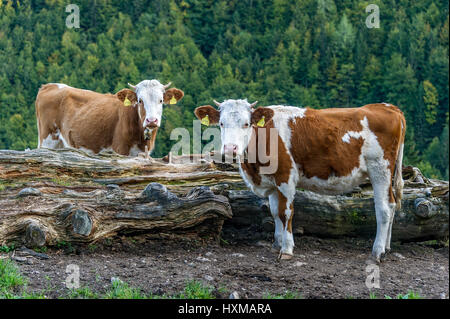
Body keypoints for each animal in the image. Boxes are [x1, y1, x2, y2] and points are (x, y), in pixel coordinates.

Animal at [34, 80, 184, 158]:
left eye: (161, 100)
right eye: (140, 100)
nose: (151, 121)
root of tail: (49, 86)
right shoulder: (120, 149)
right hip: (48, 138)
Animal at [195, 100, 406, 262]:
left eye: (246, 124)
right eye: (221, 123)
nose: (230, 149)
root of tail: (388, 107)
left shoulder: (286, 176)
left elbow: (286, 212)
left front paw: (287, 249)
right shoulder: (273, 183)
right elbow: (274, 211)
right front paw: (277, 243)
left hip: (380, 168)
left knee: (383, 208)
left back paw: (377, 251)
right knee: (392, 204)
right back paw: (387, 247)